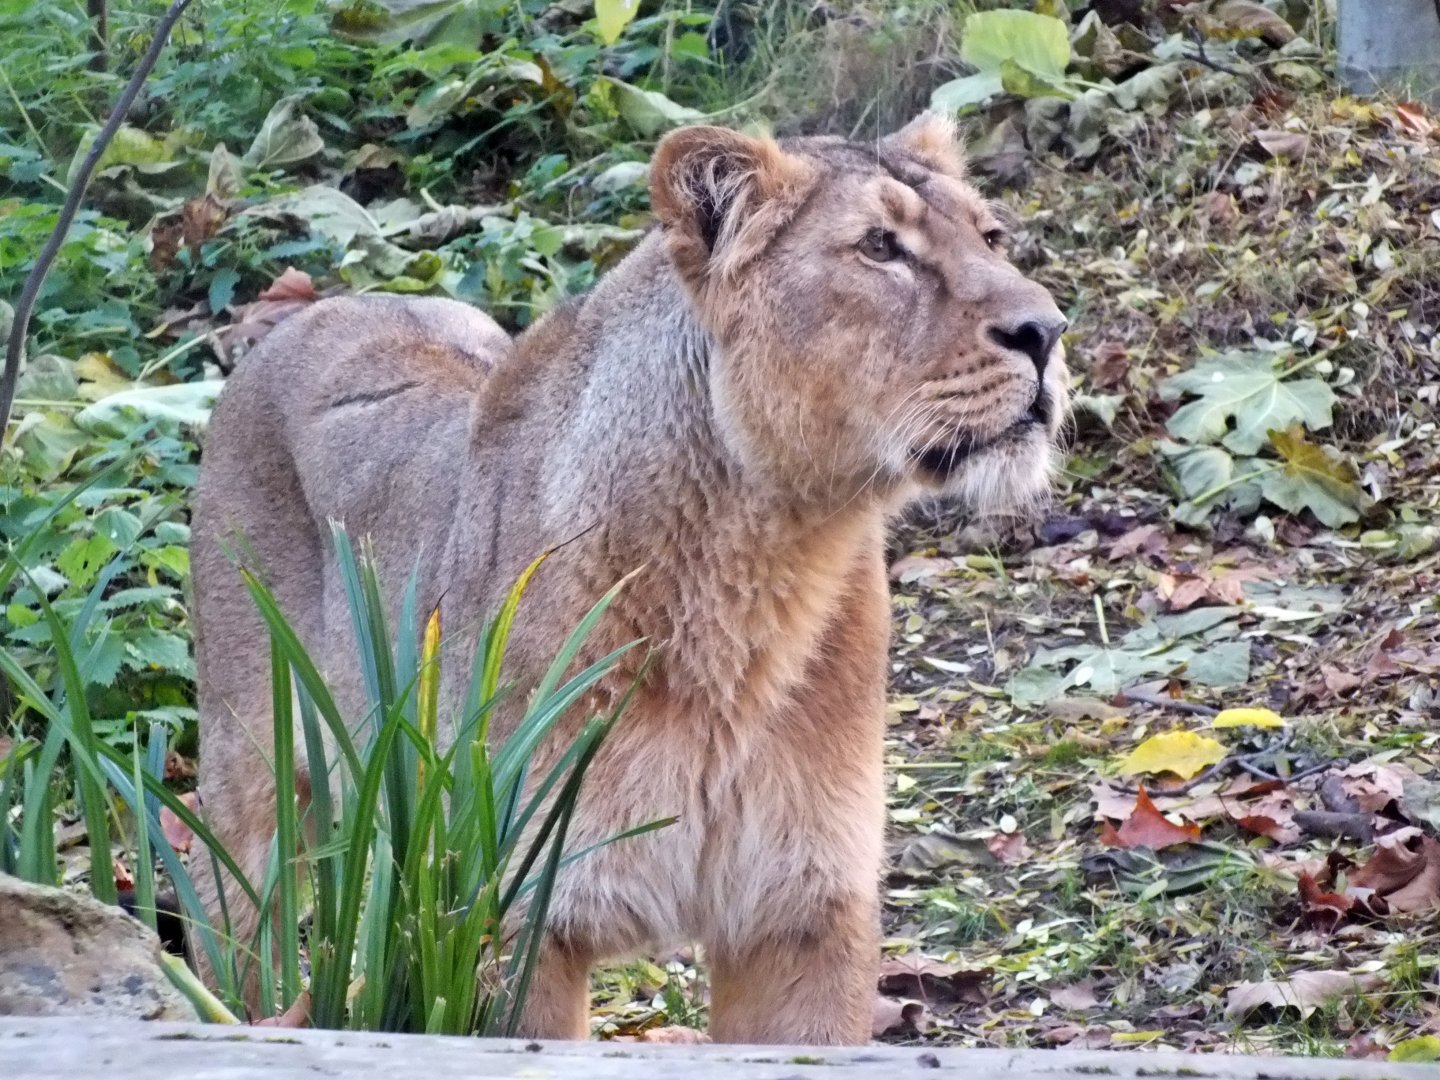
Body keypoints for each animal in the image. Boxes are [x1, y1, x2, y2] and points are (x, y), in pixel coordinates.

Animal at [189, 113, 1069, 1045]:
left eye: (992, 237)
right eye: (879, 247)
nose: (1047, 331)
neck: (765, 570)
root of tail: (311, 310)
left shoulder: (803, 911)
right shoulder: (514, 915)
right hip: (249, 787)